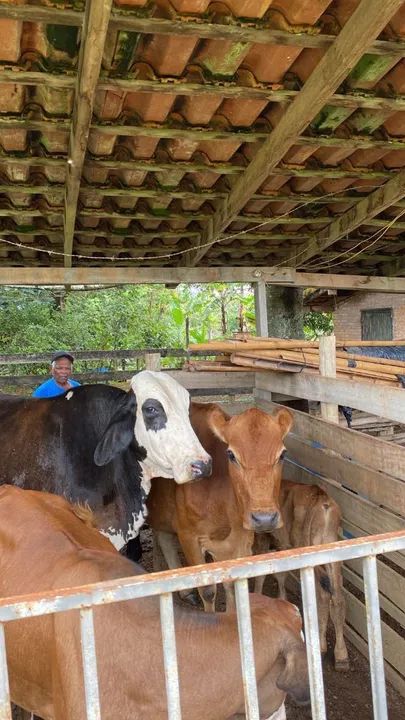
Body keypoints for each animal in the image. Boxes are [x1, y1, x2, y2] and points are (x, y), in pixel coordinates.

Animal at [147, 402, 293, 610]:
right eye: (231, 454)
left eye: (282, 454)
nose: (264, 519)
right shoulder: (189, 536)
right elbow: (208, 591)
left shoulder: (241, 540)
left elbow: (232, 585)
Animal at [254, 480, 349, 671]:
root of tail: (322, 498)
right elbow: (281, 575)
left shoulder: (266, 538)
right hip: (331, 548)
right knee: (337, 597)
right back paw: (341, 655)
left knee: (322, 594)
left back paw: (321, 646)